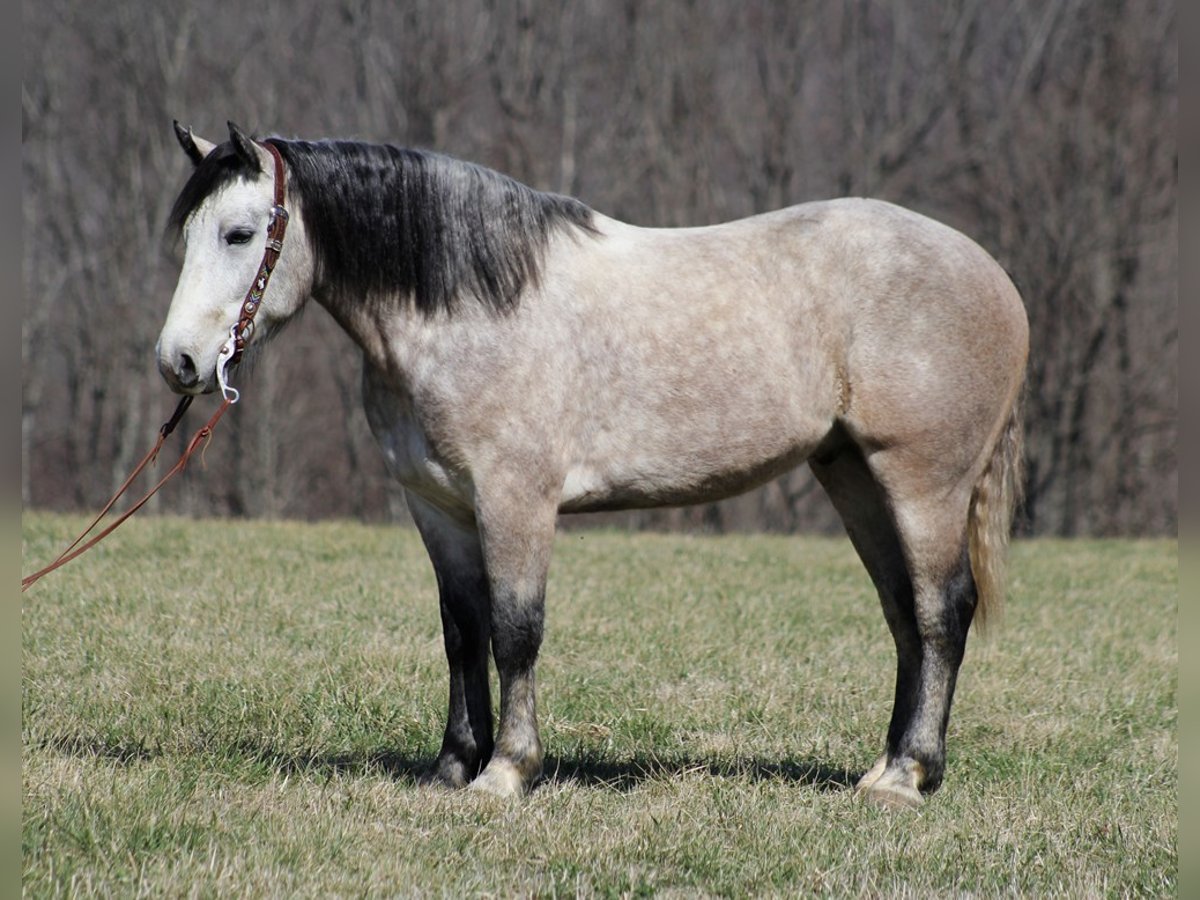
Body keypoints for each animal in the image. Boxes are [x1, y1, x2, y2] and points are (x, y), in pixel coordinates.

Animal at [154, 121, 1027, 811]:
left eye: (238, 233)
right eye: (187, 234)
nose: (180, 362)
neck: (471, 307)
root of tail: (995, 278)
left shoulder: (515, 500)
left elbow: (515, 631)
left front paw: (506, 772)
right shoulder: (438, 506)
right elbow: (462, 631)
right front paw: (453, 766)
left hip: (922, 483)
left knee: (942, 611)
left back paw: (910, 777)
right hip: (852, 476)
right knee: (904, 616)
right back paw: (885, 767)